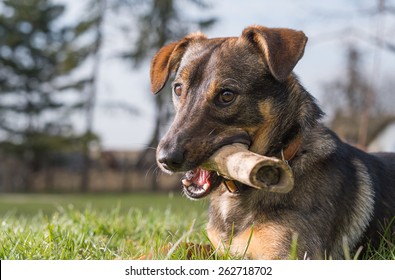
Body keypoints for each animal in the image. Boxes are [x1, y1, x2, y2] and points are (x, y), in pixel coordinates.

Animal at [149, 25, 395, 260]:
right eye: (178, 89)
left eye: (227, 95)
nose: (165, 159)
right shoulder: (220, 250)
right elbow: (174, 247)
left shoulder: (291, 255)